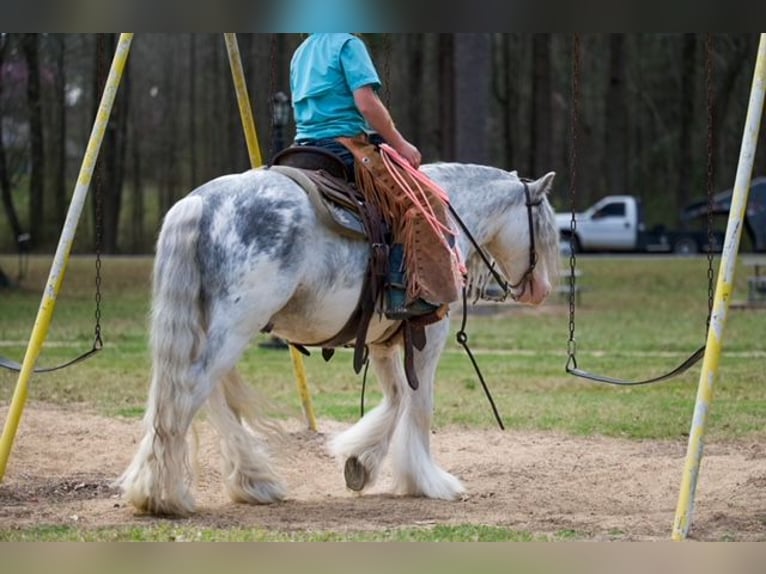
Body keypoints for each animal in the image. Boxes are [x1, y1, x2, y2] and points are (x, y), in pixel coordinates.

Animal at [116, 162, 560, 516]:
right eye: (544, 228)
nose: (541, 290)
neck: (445, 222)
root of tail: (201, 203)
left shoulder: (381, 342)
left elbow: (396, 398)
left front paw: (360, 462)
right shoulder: (429, 339)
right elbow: (418, 406)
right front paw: (427, 481)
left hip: (217, 329)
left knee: (209, 397)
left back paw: (251, 483)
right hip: (233, 329)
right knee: (186, 395)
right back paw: (162, 495)